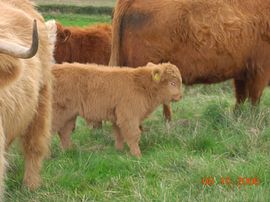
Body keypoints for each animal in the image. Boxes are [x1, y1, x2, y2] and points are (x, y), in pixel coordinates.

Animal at [51, 62, 181, 157]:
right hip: (57, 114)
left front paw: (119, 151)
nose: (180, 96)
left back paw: (69, 151)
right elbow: (134, 134)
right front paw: (137, 155)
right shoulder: (129, 116)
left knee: (64, 132)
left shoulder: (117, 117)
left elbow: (119, 134)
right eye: (172, 83)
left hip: (69, 116)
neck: (142, 85)